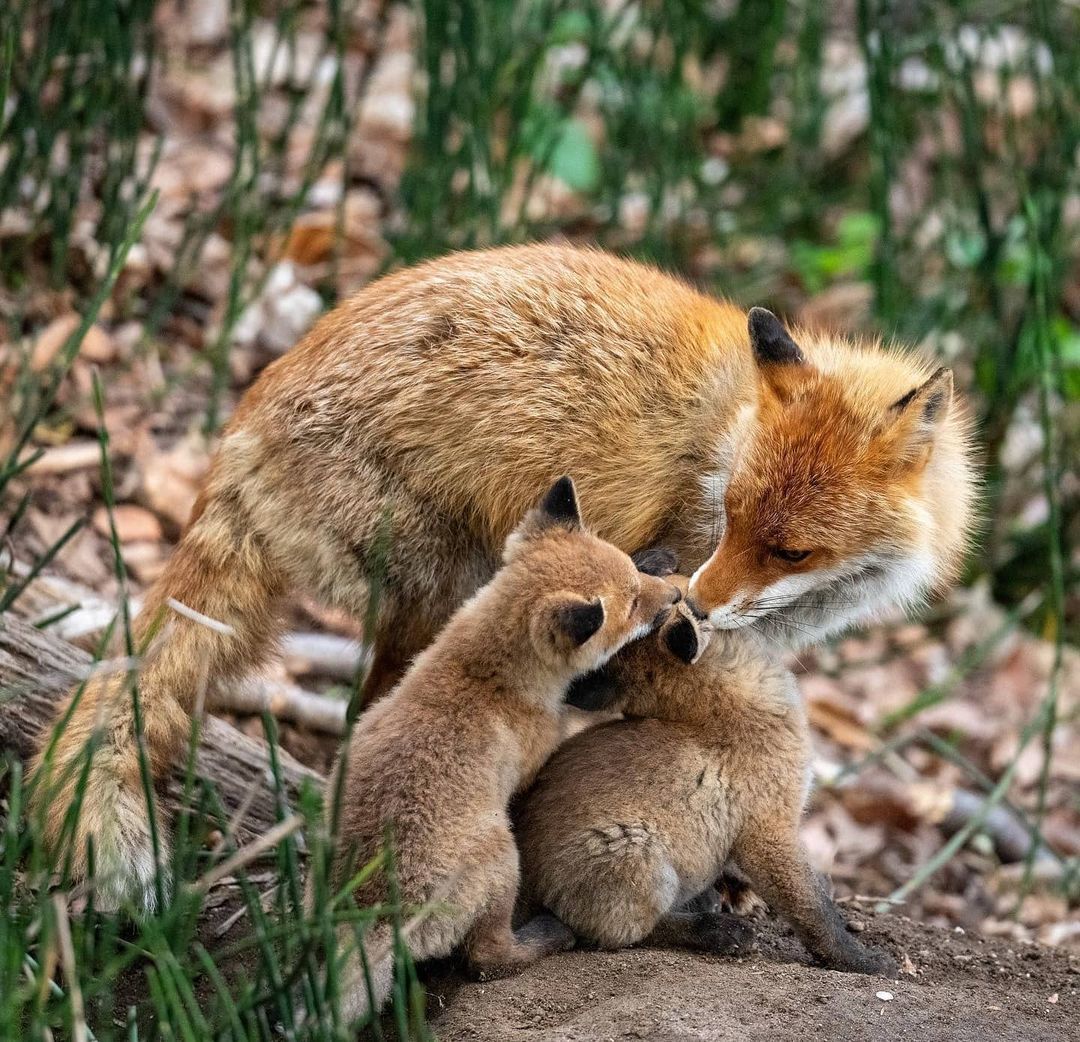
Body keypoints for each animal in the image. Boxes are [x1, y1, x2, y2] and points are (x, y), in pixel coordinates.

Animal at [33, 244, 980, 911]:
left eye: (791, 551)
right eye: (732, 513)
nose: (698, 604)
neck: (723, 431)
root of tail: (241, 420)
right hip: (453, 597)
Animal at [315, 475, 678, 1019]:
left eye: (637, 581)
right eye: (633, 606)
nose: (676, 595)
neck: (481, 671)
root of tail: (374, 910)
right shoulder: (541, 744)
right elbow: (584, 719)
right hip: (504, 859)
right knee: (487, 961)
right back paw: (546, 937)